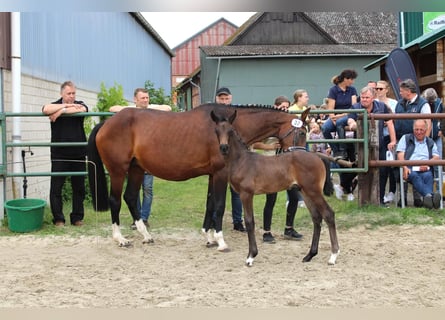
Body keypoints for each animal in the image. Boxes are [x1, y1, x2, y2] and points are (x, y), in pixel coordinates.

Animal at [86, 104, 304, 249]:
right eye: (302, 133)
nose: (300, 156)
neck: (226, 131)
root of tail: (106, 123)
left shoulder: (212, 175)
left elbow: (210, 205)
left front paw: (209, 238)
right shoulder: (220, 174)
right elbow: (219, 206)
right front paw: (221, 241)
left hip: (136, 169)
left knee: (130, 197)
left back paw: (146, 235)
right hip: (117, 170)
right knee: (115, 200)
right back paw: (120, 239)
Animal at [210, 109, 338, 266]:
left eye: (231, 131)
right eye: (216, 131)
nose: (223, 147)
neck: (242, 160)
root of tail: (318, 157)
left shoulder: (246, 194)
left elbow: (249, 222)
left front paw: (251, 256)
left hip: (314, 191)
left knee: (328, 214)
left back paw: (333, 256)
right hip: (306, 192)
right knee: (316, 217)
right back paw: (309, 255)